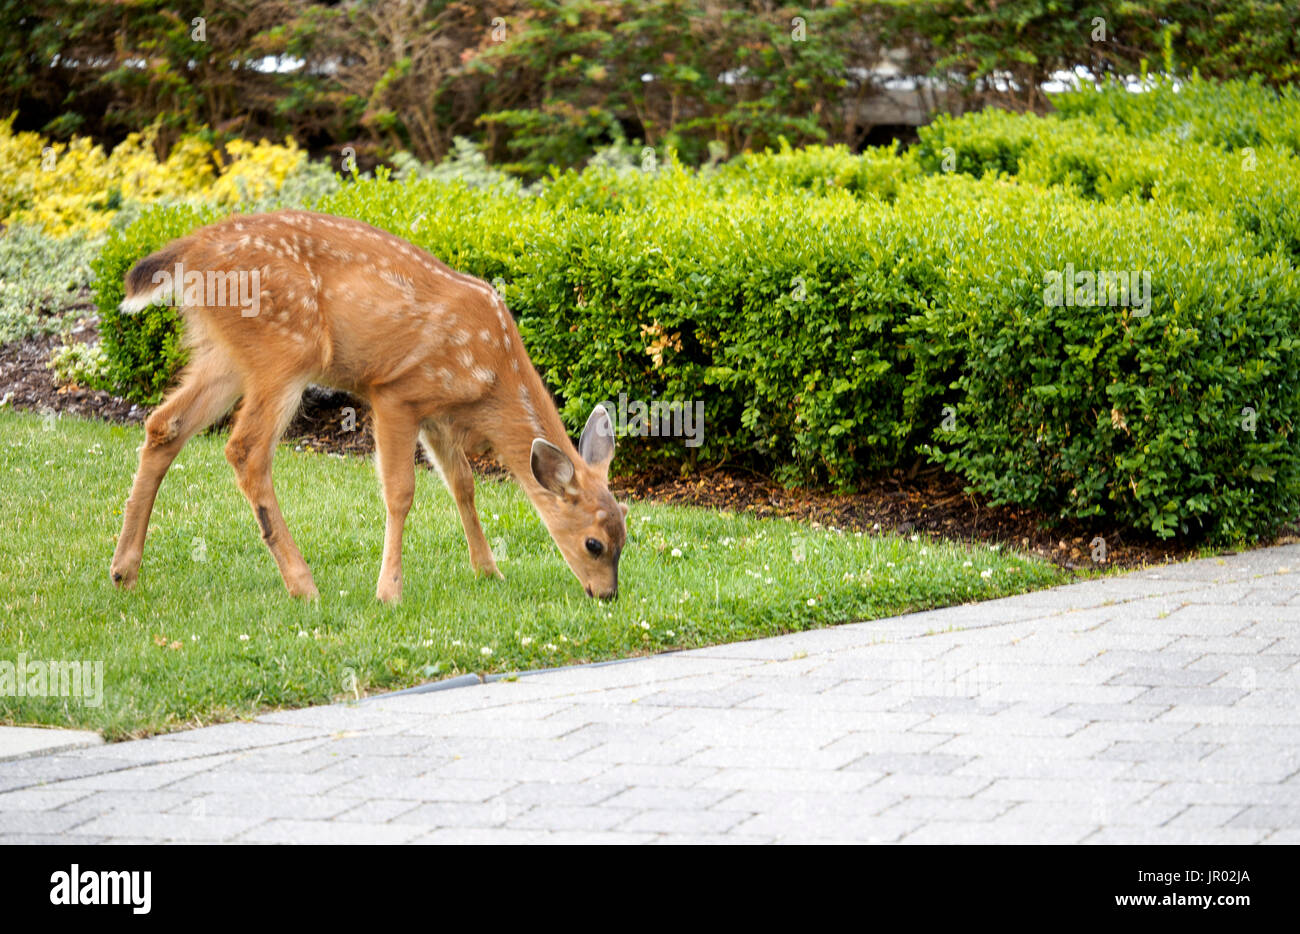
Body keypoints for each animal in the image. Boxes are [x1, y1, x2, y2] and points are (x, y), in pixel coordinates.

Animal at [109, 210, 627, 602]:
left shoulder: (436, 414)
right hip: (286, 350)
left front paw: (488, 571)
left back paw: (123, 571)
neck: (491, 377)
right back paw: (302, 584)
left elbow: (463, 483)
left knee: (164, 425)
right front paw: (389, 591)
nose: (606, 595)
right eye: (595, 544)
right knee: (245, 450)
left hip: (226, 354)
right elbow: (400, 492)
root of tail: (189, 250)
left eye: (626, 533)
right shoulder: (397, 392)